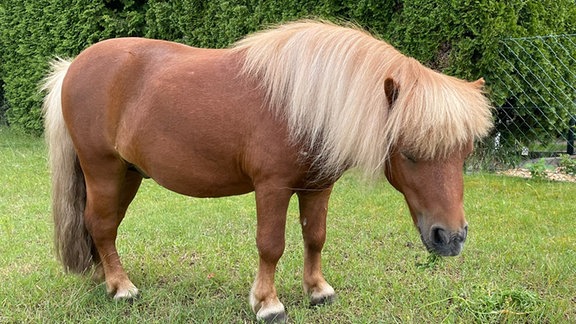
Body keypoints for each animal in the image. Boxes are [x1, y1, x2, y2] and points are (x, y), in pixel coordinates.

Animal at [41, 20, 490, 322]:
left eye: (466, 151)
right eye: (410, 152)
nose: (451, 238)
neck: (303, 103)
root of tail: (73, 66)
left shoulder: (318, 187)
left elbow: (315, 237)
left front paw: (318, 290)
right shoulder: (272, 187)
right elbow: (271, 245)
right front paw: (268, 304)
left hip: (128, 174)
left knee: (104, 227)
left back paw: (106, 277)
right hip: (104, 170)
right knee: (101, 225)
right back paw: (122, 288)